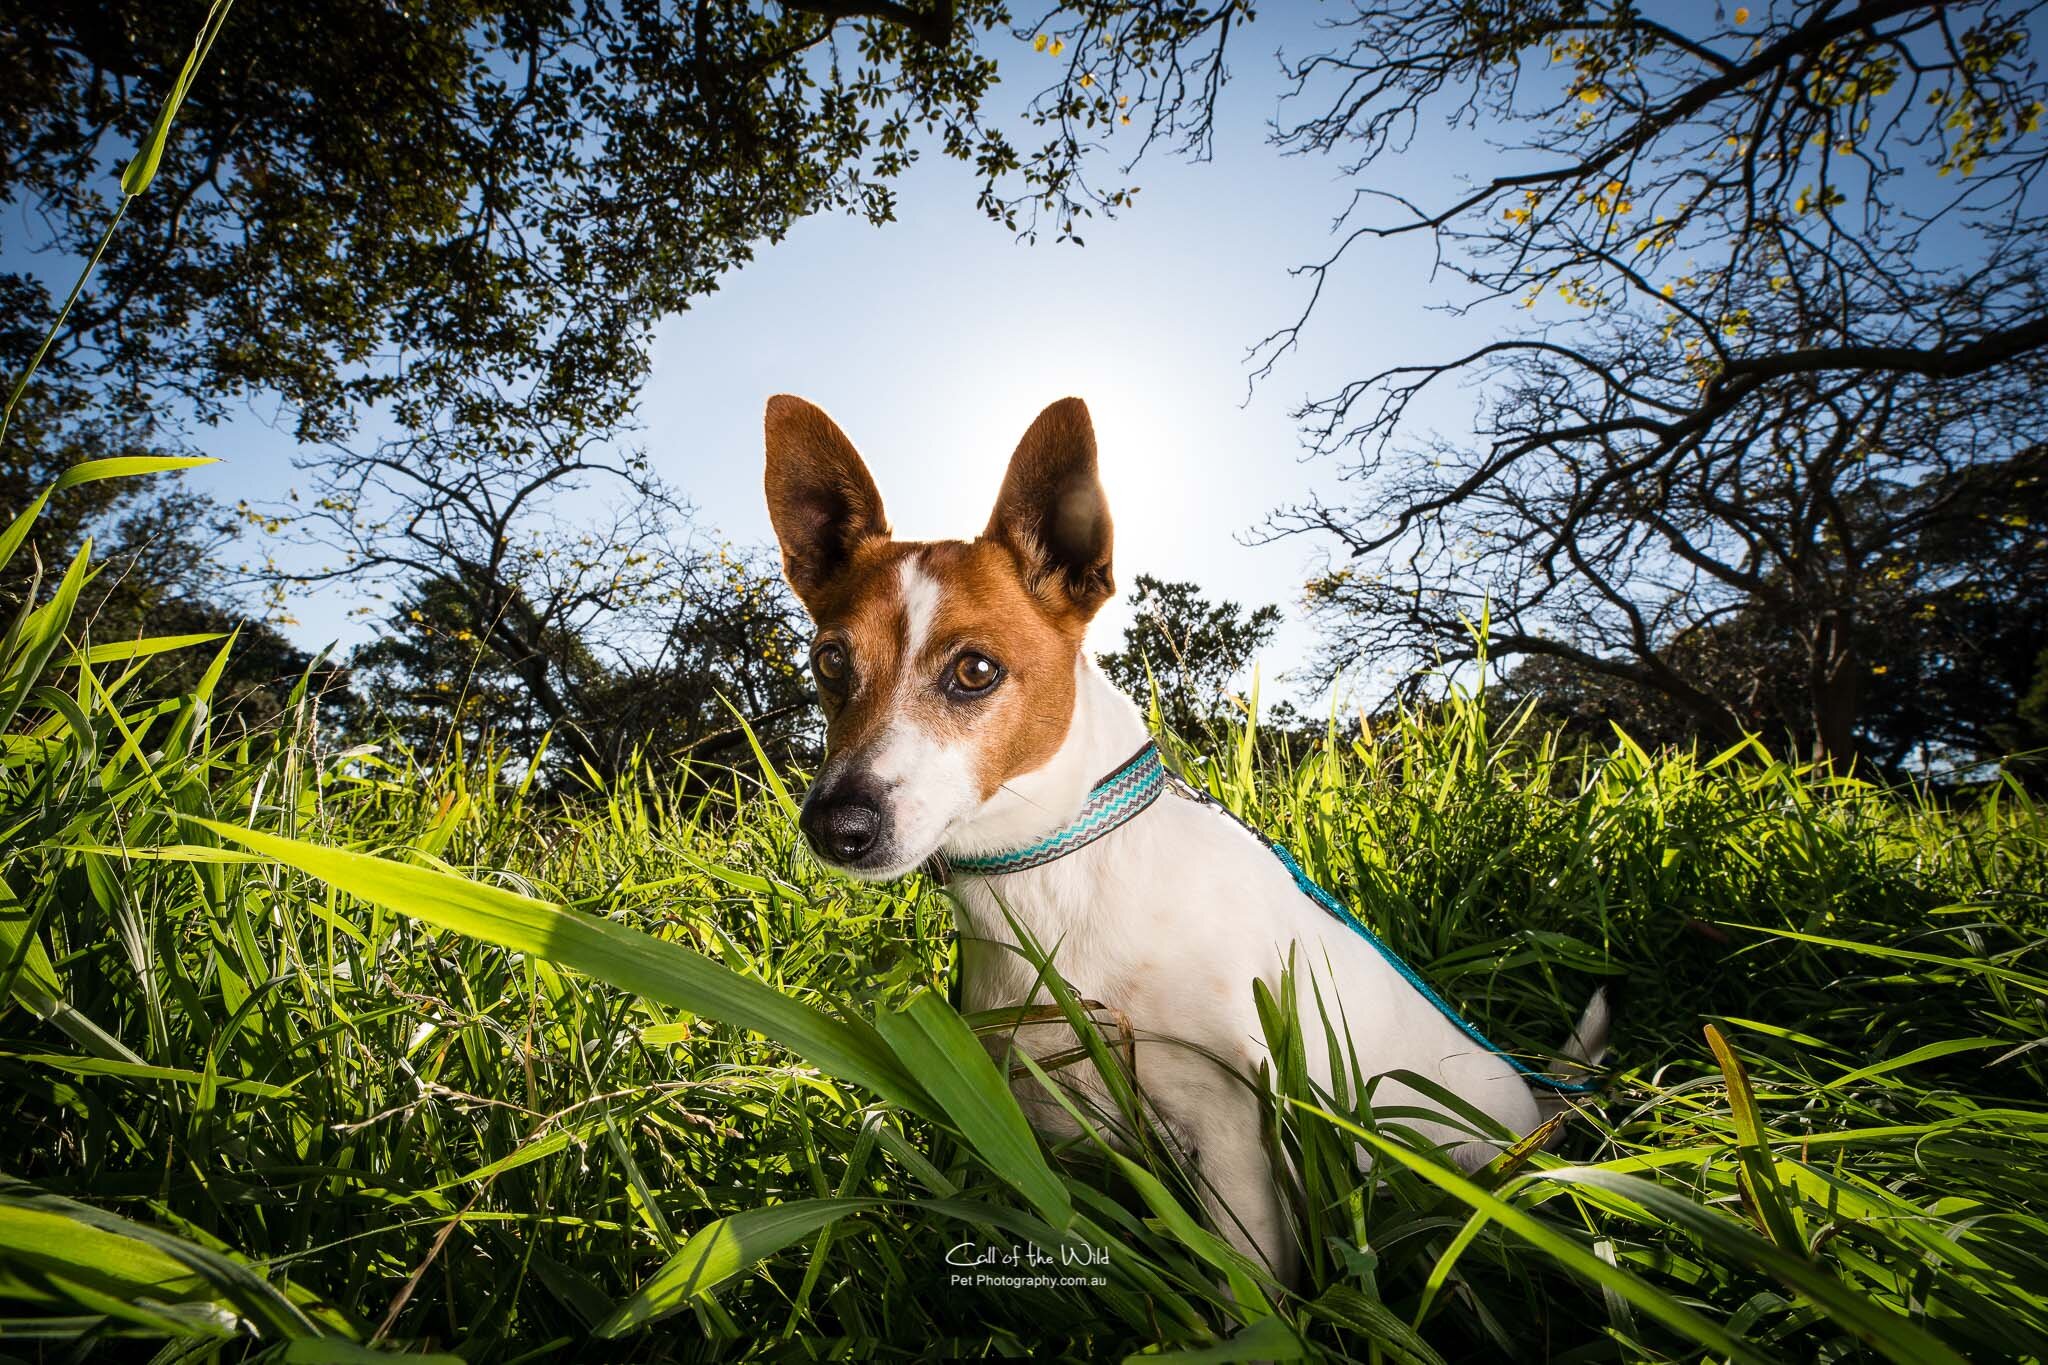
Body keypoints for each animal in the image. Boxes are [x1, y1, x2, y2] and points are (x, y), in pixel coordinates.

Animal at [761, 394, 1605, 1285]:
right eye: (829, 661)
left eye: (976, 670)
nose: (835, 825)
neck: (1054, 871)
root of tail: (1537, 1106)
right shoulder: (1041, 1119)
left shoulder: (1233, 1136)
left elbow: (1249, 1284)